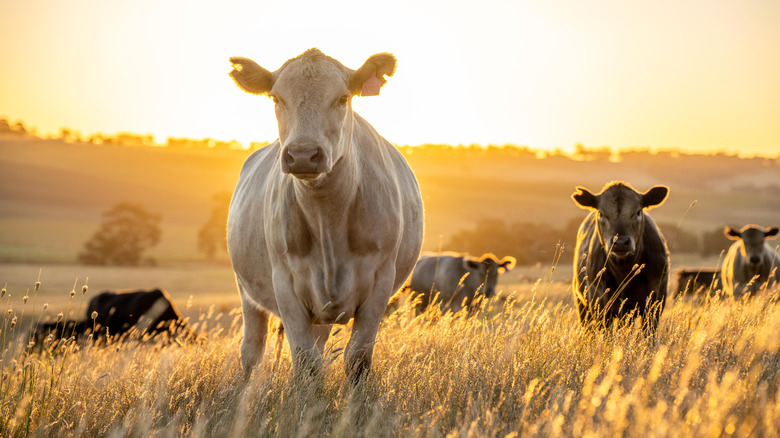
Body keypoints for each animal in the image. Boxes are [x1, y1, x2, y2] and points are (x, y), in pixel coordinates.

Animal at [572, 183, 672, 334]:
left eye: (638, 212)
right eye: (601, 213)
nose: (619, 242)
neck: (623, 270)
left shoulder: (654, 303)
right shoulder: (600, 304)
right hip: (582, 303)